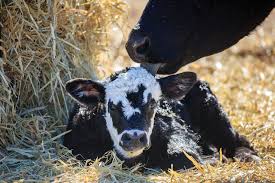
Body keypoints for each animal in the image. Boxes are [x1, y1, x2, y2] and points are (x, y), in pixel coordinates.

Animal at [63, 67, 260, 170]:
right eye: (111, 106)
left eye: (153, 103)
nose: (134, 137)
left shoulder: (179, 135)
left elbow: (184, 156)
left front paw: (213, 160)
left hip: (212, 110)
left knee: (236, 140)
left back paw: (247, 156)